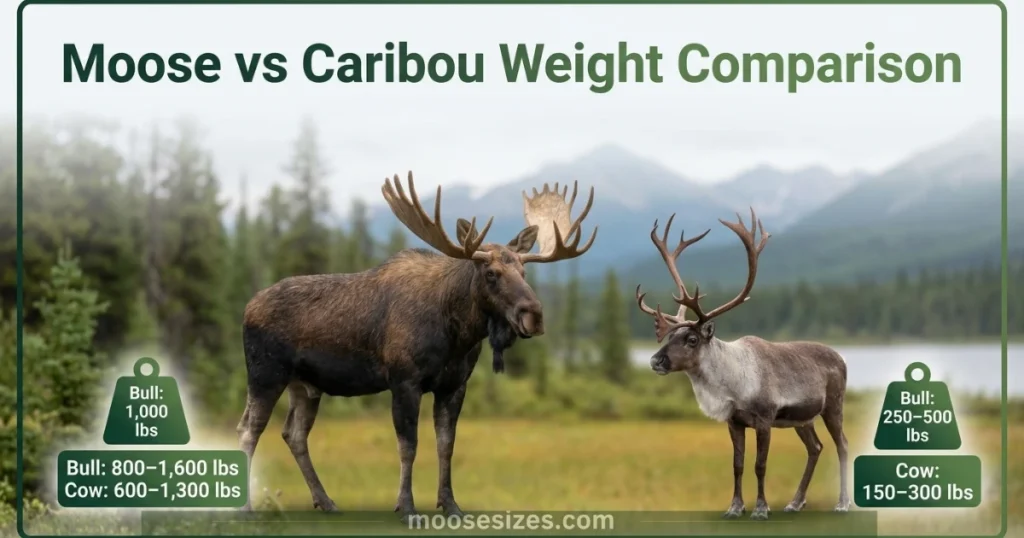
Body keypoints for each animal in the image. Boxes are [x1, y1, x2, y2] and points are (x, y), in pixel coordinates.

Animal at [235, 172, 597, 520]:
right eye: (491, 273)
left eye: (524, 270)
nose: (533, 315)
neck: (456, 334)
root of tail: (247, 307)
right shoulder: (404, 381)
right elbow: (408, 446)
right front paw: (407, 507)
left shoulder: (454, 386)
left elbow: (446, 445)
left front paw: (450, 505)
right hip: (266, 374)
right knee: (249, 430)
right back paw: (246, 509)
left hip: (306, 385)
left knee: (293, 434)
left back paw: (325, 501)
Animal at [633, 209, 849, 521]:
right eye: (670, 335)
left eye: (691, 339)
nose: (655, 360)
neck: (731, 384)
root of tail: (842, 357)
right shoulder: (734, 421)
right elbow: (737, 465)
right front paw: (735, 507)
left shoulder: (764, 419)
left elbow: (760, 465)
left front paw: (761, 508)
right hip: (803, 418)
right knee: (816, 447)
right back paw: (795, 502)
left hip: (833, 406)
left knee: (842, 445)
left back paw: (842, 503)